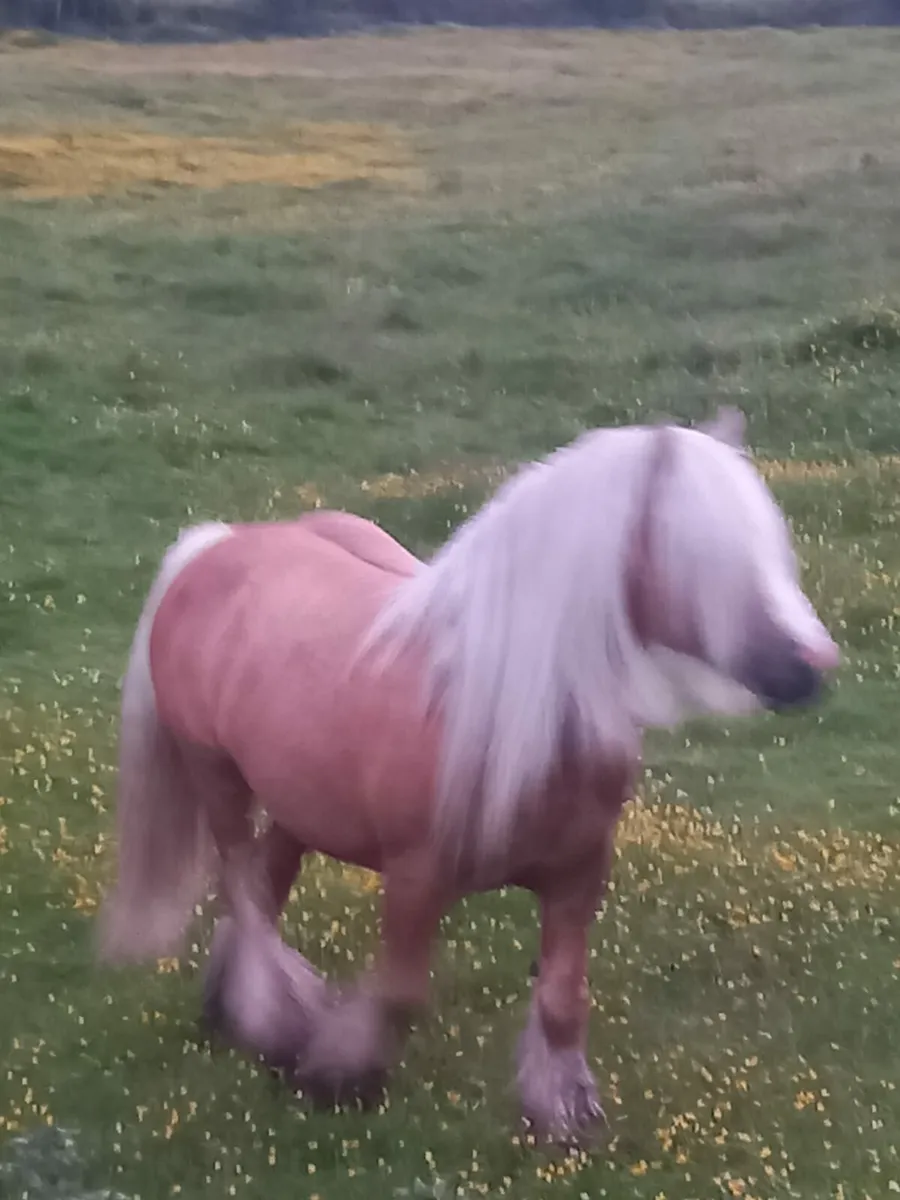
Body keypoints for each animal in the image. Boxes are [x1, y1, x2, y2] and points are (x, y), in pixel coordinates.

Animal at [96, 407, 840, 1144]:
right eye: (707, 554)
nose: (813, 670)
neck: (510, 708)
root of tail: (217, 545)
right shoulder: (416, 880)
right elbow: (400, 992)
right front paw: (340, 1076)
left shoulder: (578, 877)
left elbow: (563, 997)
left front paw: (561, 1114)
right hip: (218, 779)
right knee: (246, 896)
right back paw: (273, 1026)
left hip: (297, 804)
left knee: (263, 886)